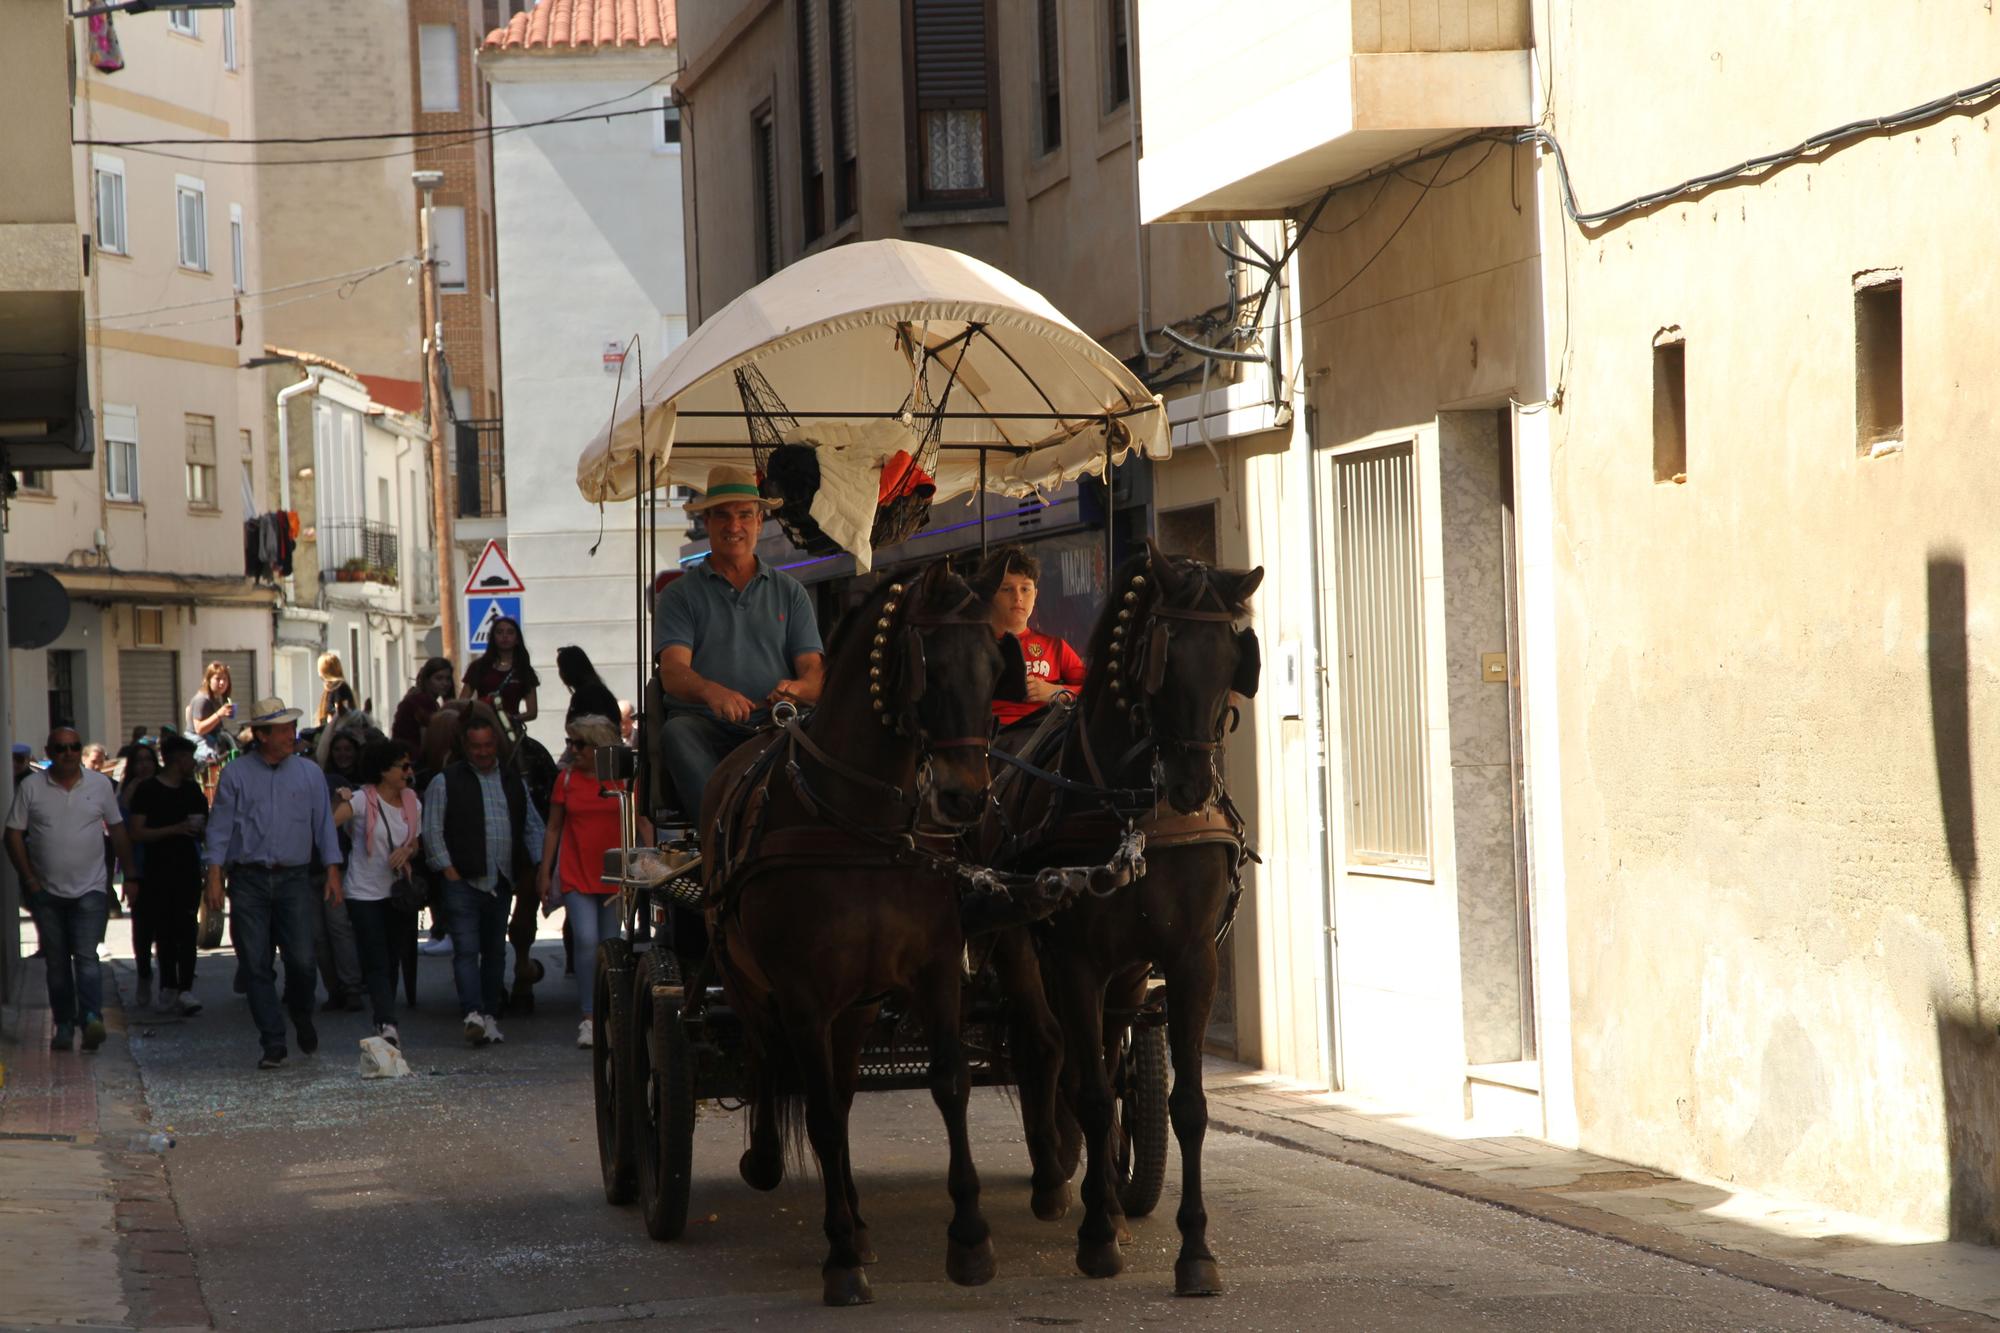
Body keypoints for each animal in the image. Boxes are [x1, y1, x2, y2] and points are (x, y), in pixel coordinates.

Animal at [700, 556, 1016, 1304]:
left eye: (996, 664)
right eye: (930, 666)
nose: (966, 796)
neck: (858, 825)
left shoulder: (935, 972)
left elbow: (948, 1084)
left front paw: (970, 1236)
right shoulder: (803, 996)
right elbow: (813, 1110)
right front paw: (840, 1255)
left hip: (859, 1005)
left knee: (840, 1096)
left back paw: (858, 1218)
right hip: (744, 979)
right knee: (767, 1059)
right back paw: (771, 1164)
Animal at [988, 540, 1256, 1288]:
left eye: (1234, 658)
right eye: (1164, 657)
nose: (1194, 787)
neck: (1133, 808)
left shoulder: (1191, 960)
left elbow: (1184, 1104)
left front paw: (1195, 1250)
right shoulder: (1075, 961)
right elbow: (1082, 1089)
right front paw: (1097, 1236)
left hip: (1130, 973)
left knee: (1105, 1063)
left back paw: (1102, 1183)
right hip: (1020, 947)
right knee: (1046, 1046)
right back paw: (1055, 1180)